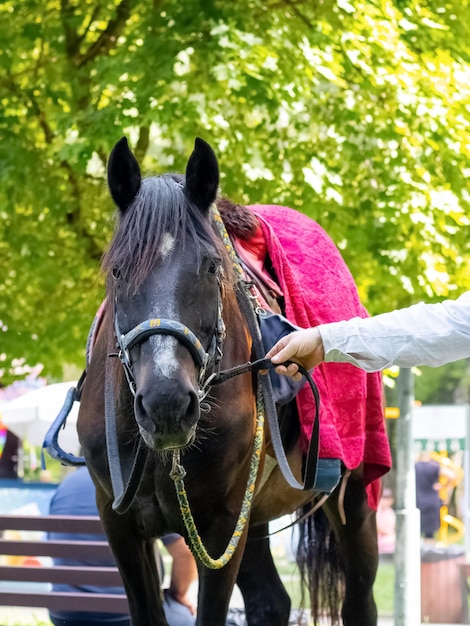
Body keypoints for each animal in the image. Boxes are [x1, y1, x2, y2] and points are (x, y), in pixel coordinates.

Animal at [77, 138, 386, 624]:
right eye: (118, 270)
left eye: (210, 267)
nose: (166, 403)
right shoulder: (118, 522)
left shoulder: (221, 525)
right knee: (269, 602)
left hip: (354, 500)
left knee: (358, 601)